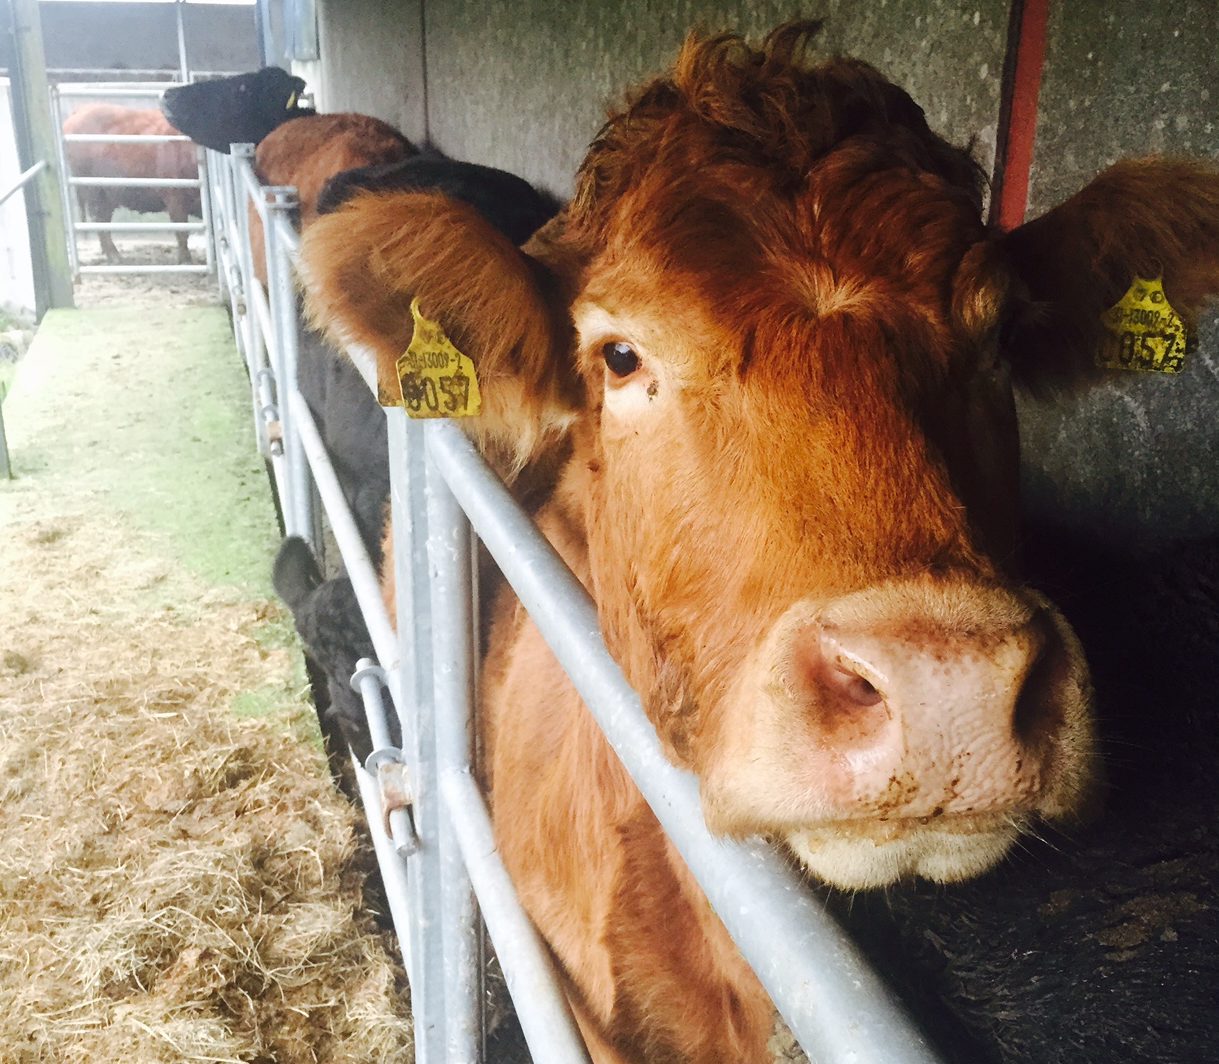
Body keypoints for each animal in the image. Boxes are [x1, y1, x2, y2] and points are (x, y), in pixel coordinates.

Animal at [62, 104, 201, 265]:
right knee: (100, 220)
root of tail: (82, 109)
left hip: (108, 196)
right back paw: (114, 257)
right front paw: (185, 261)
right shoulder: (174, 197)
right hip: (94, 191)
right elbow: (182, 231)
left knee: (104, 220)